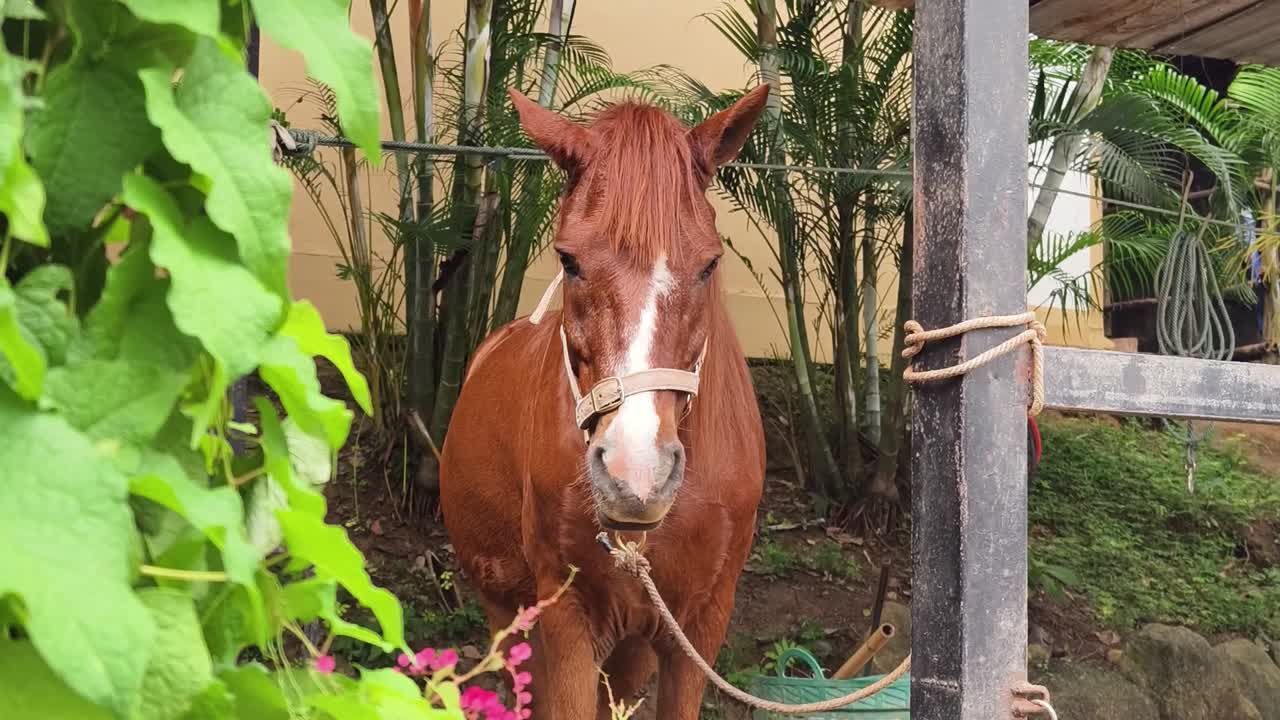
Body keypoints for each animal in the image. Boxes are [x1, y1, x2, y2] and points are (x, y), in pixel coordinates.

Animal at [439, 84, 771, 719]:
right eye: (568, 259)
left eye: (709, 263)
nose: (634, 473)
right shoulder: (567, 616)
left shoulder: (699, 626)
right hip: (507, 608)